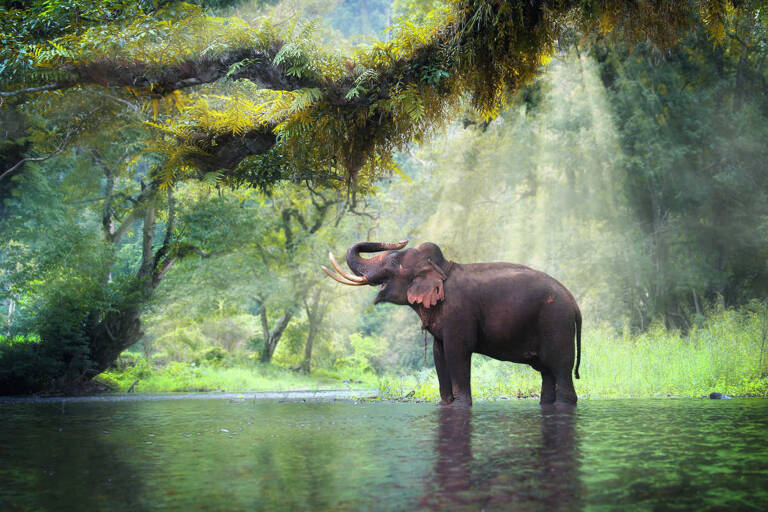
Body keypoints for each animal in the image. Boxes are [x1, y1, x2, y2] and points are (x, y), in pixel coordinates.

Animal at [322, 240, 582, 407]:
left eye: (394, 261)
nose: (400, 241)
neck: (442, 268)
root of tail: (574, 303)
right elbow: (439, 353)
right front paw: (445, 404)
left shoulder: (459, 313)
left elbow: (458, 351)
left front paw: (460, 405)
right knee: (547, 372)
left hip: (556, 322)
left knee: (560, 368)